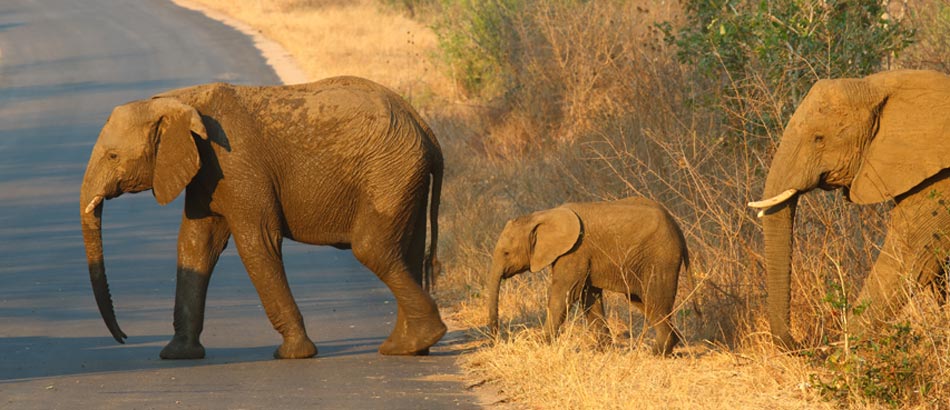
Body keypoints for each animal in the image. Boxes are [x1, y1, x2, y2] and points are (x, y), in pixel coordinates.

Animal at [79, 76, 446, 358]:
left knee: (373, 250)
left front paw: (293, 354)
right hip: (403, 177)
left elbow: (258, 241)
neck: (178, 101)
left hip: (389, 174)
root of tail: (426, 129)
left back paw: (417, 340)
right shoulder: (206, 171)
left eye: (113, 156)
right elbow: (195, 246)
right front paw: (177, 355)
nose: (123, 338)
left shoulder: (236, 163)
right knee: (407, 253)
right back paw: (409, 346)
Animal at [488, 197, 688, 354]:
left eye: (506, 253)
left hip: (660, 259)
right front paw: (604, 351)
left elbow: (565, 295)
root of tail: (678, 229)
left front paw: (540, 345)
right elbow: (589, 297)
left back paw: (655, 353)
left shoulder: (575, 251)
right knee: (642, 300)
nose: (495, 341)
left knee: (655, 301)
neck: (542, 216)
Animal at [752, 69, 950, 346]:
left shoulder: (941, 182)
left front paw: (844, 353)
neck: (879, 86)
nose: (805, 342)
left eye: (818, 139)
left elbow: (912, 258)